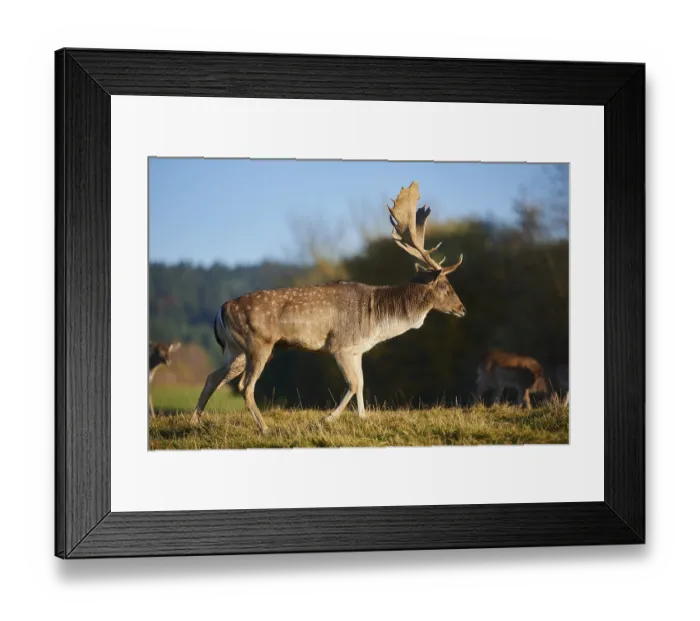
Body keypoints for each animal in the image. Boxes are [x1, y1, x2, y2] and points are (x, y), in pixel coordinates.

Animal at [190, 181, 466, 433]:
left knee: (213, 376)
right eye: (445, 286)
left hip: (235, 349)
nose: (462, 308)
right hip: (258, 344)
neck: (376, 320)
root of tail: (221, 310)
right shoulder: (339, 345)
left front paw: (363, 417)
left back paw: (195, 421)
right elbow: (352, 384)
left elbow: (362, 383)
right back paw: (264, 427)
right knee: (245, 387)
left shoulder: (357, 350)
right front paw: (327, 419)